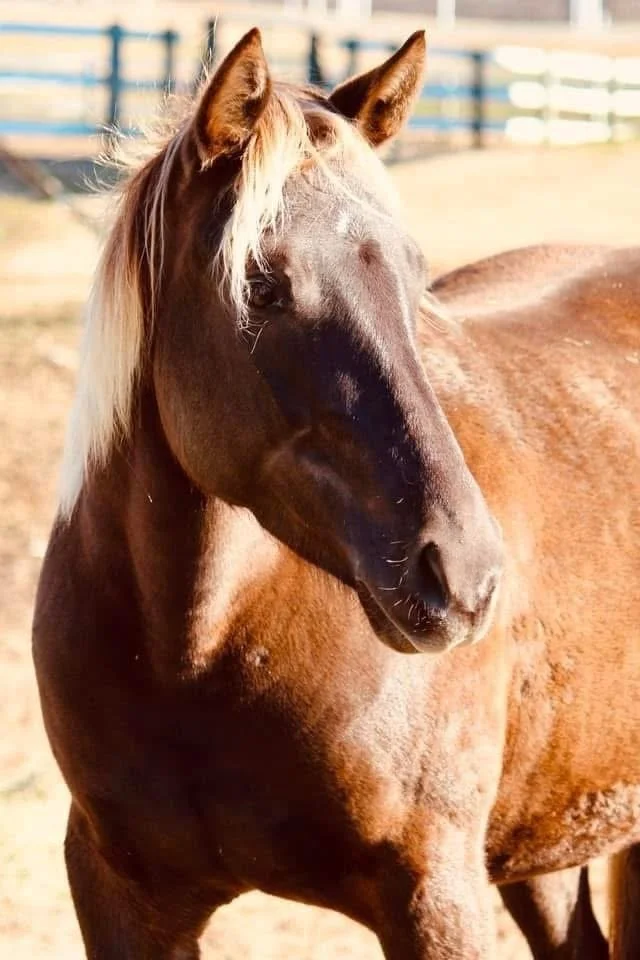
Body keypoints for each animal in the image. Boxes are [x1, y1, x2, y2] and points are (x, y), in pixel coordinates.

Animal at [32, 28, 640, 959]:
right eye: (261, 285)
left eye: (415, 276)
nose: (464, 577)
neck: (191, 650)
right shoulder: (119, 896)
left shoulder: (435, 897)